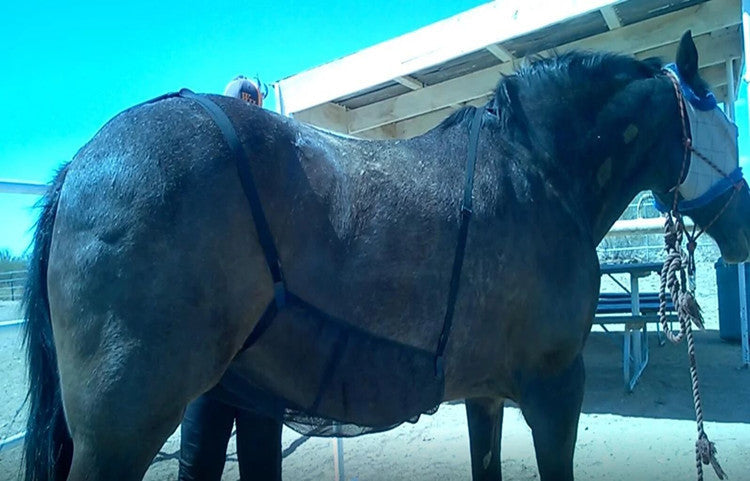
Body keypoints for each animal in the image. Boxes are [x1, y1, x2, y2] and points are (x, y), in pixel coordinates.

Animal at [22, 30, 750, 481]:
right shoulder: (553, 389)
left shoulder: (485, 394)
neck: (535, 173)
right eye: (725, 121)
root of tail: (80, 163)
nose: (743, 226)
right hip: (123, 426)